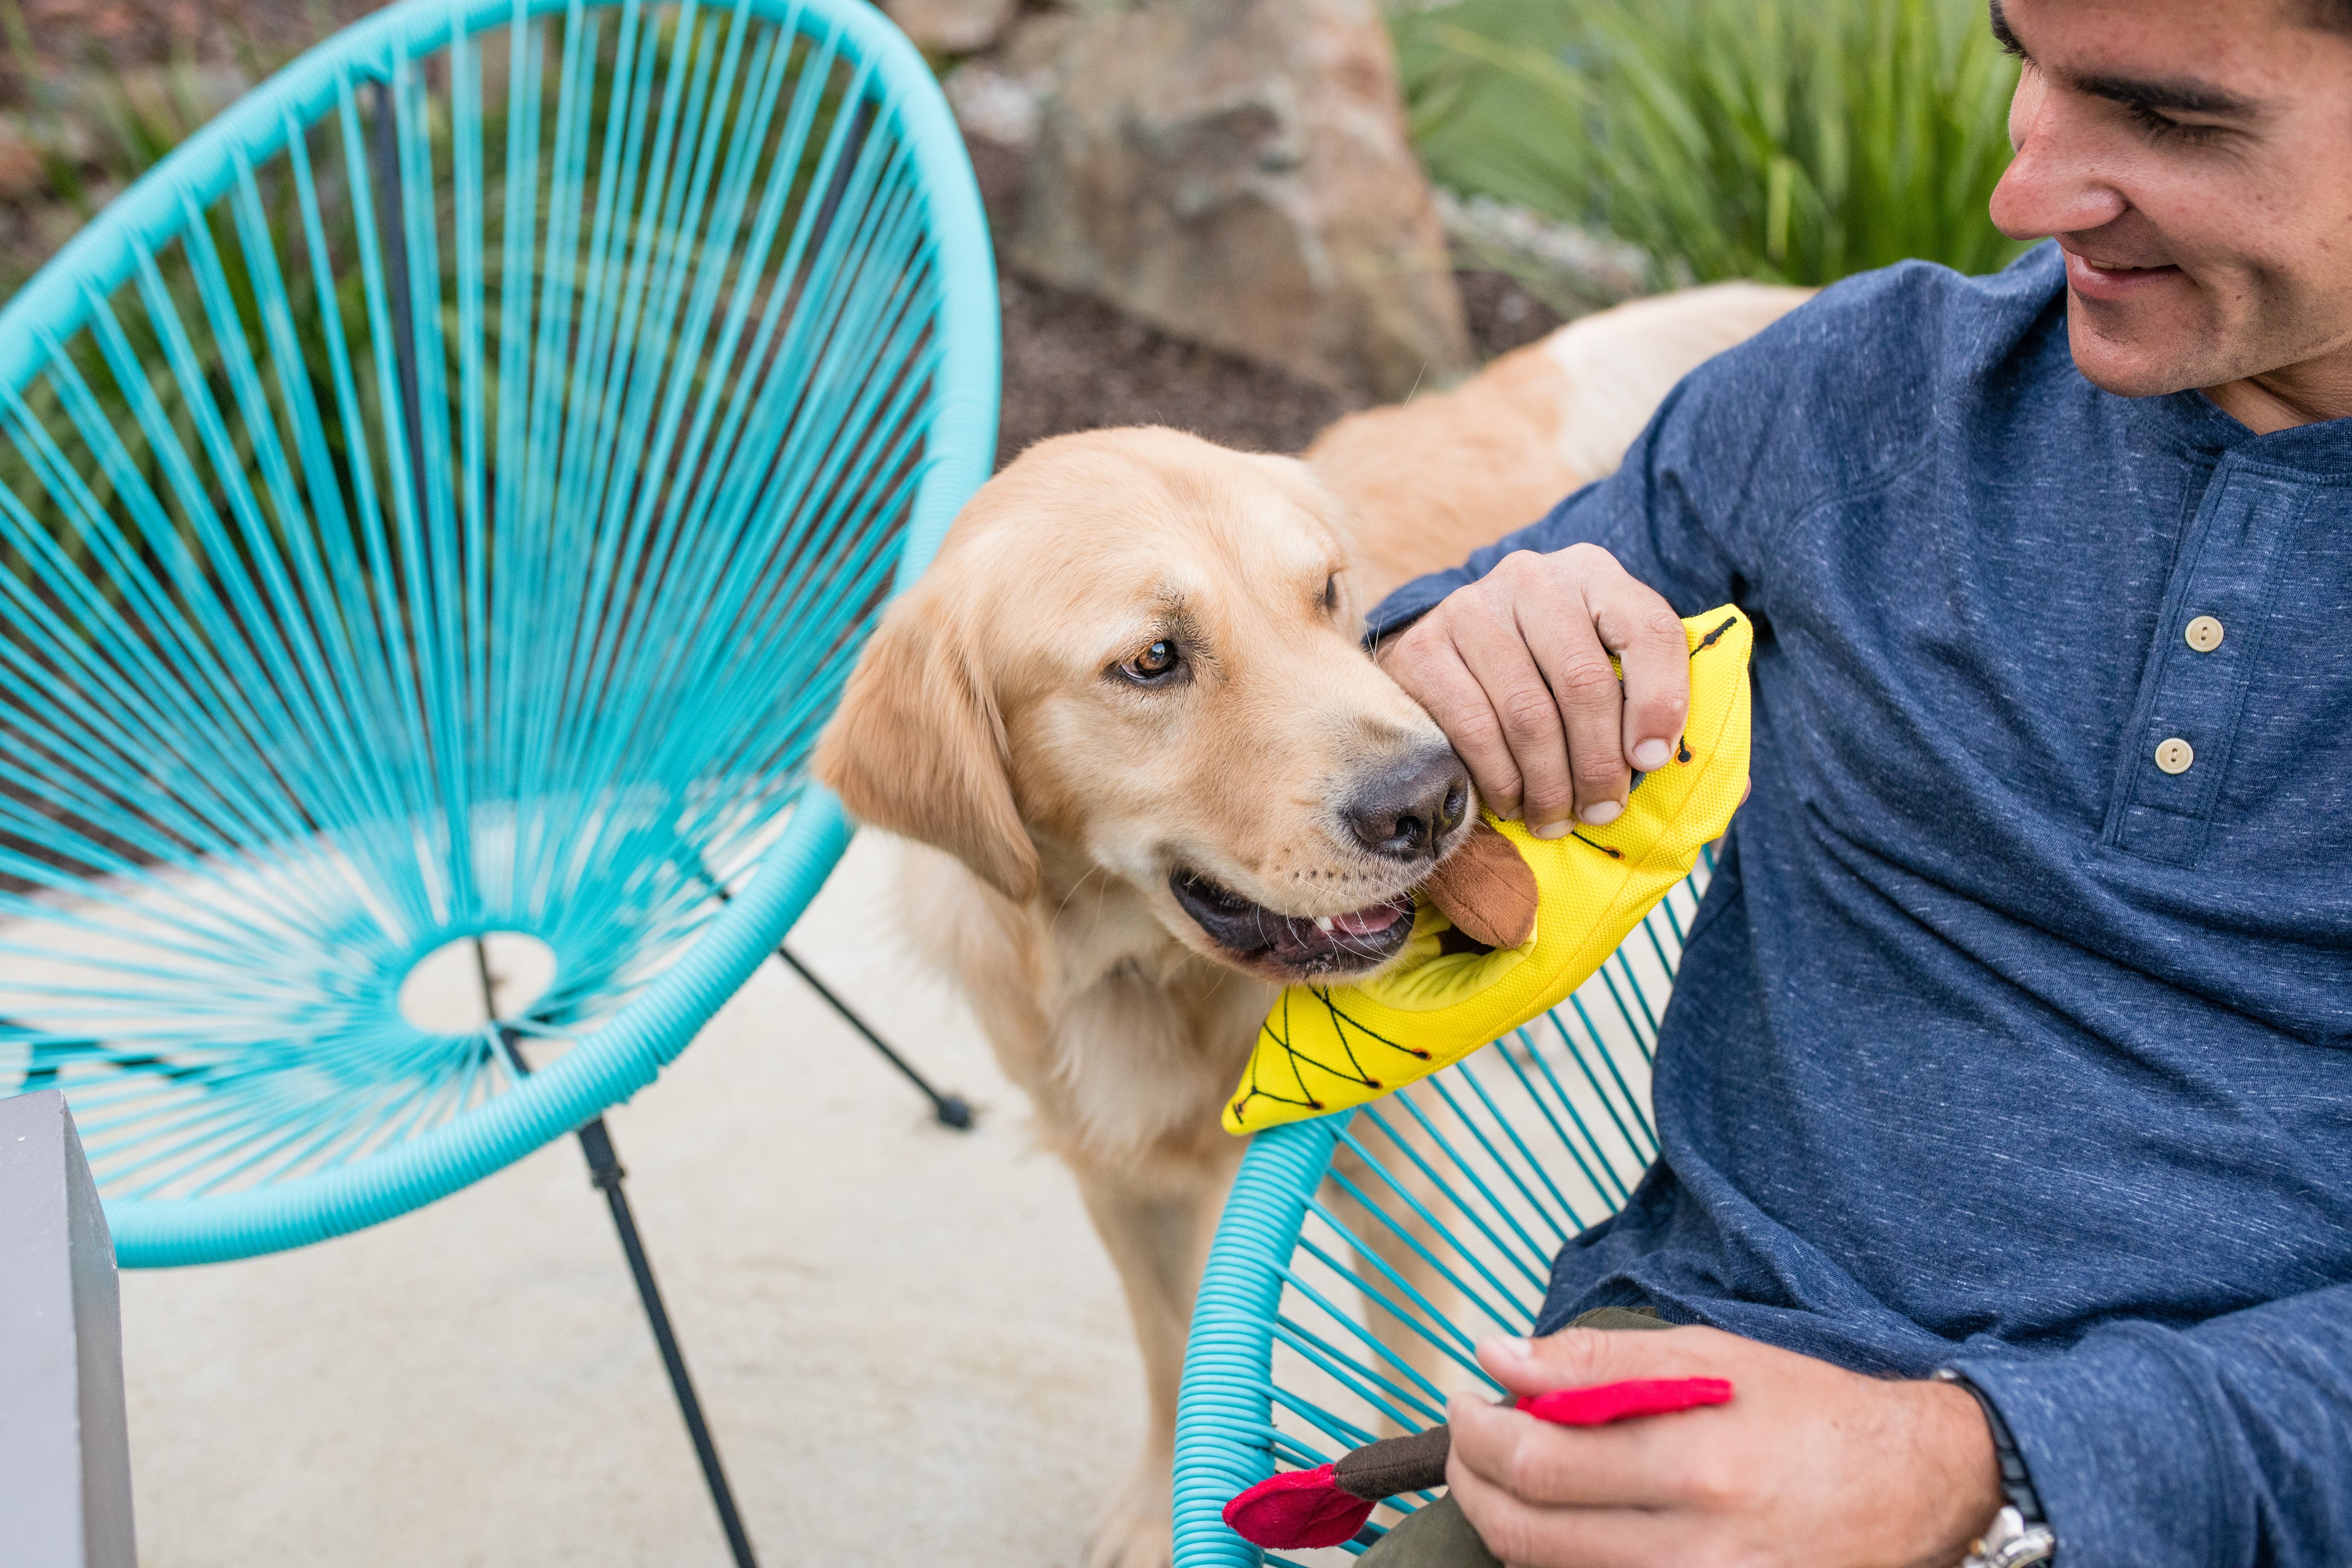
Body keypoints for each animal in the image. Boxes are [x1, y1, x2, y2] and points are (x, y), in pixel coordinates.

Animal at [809, 282, 1797, 1568]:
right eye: (1153, 659)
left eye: (1326, 592)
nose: (1430, 800)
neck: (1159, 976)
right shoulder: (1116, 1171)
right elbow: (1166, 1343)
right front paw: (1152, 1506)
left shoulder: (1399, 1172)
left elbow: (1410, 1365)